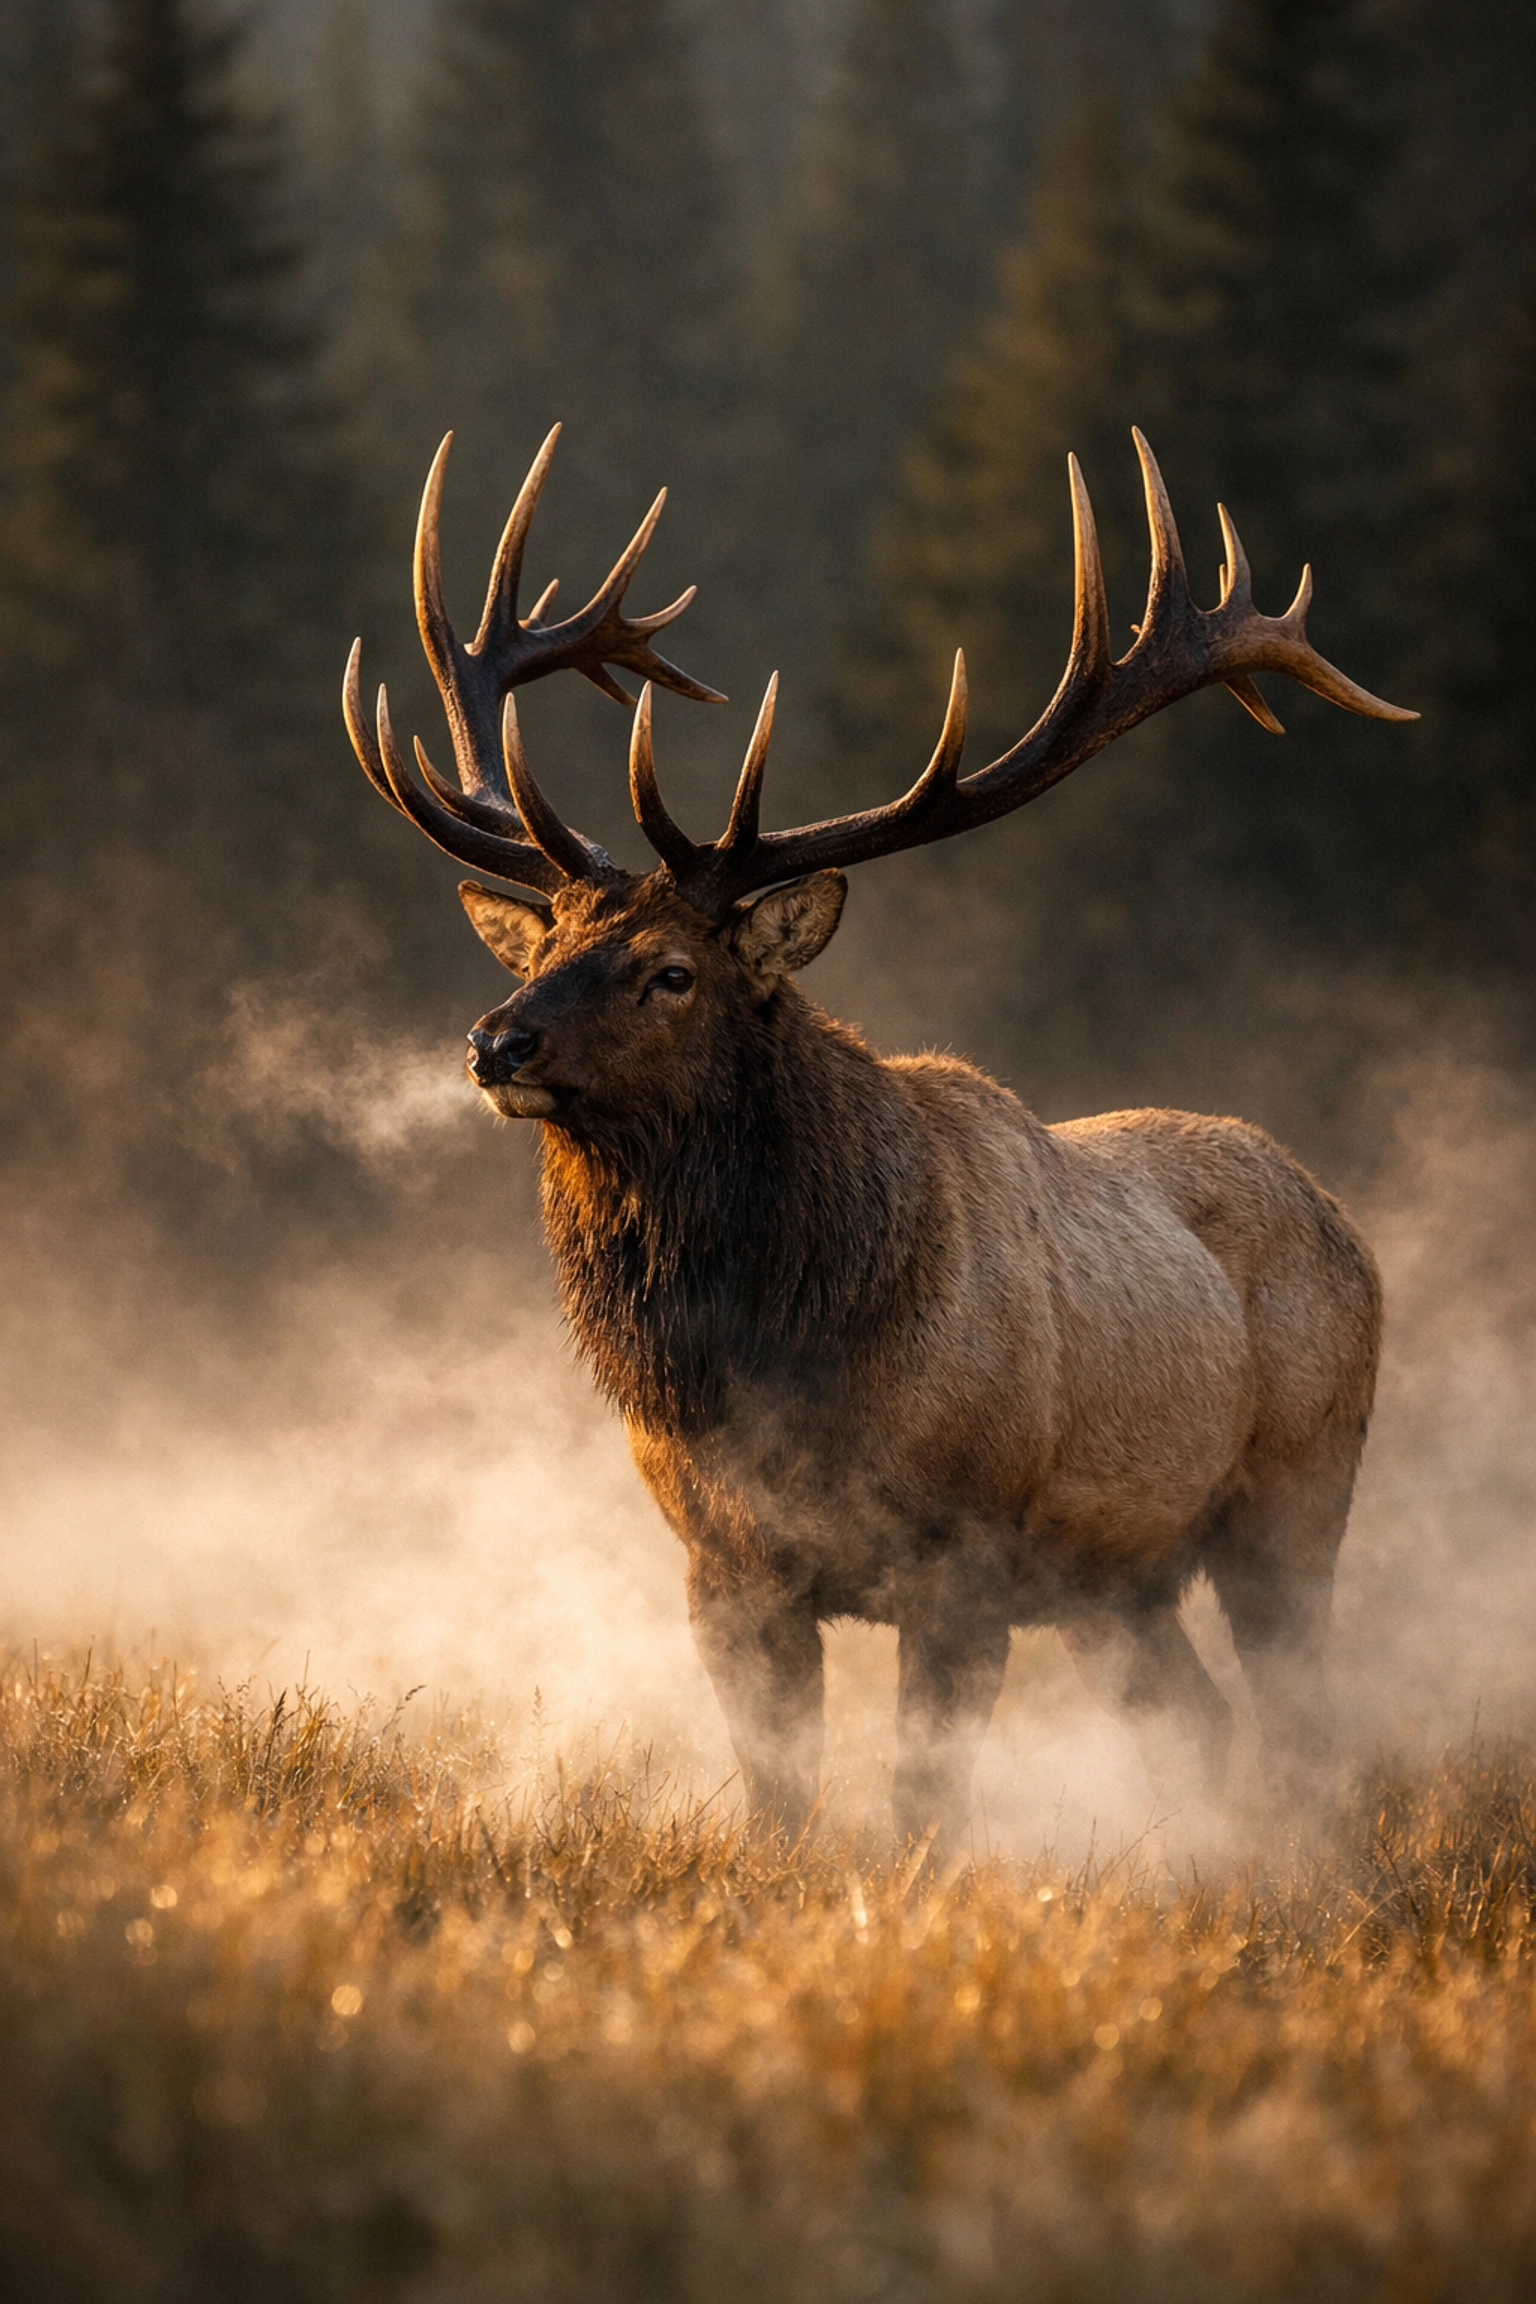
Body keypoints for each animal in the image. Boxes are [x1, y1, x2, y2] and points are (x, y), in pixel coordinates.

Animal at [344, 425, 1414, 1851]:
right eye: (551, 937)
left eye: (673, 971)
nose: (496, 1041)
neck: (784, 1367)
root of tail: (1345, 1222)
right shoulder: (721, 1566)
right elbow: (778, 1800)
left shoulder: (965, 1555)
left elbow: (921, 1802)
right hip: (1116, 1583)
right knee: (1194, 1717)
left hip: (1297, 1494)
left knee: (1304, 1722)